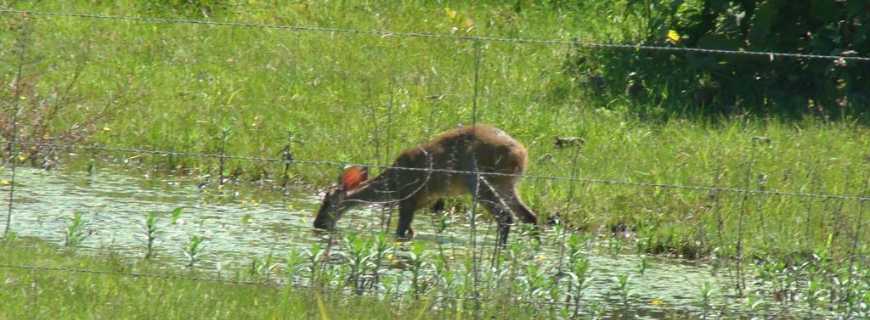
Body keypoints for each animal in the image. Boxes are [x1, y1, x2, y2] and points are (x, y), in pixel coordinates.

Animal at [314, 124, 540, 245]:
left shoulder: (409, 196)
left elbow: (401, 231)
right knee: (529, 216)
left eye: (327, 202)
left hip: (478, 179)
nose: (318, 224)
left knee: (506, 216)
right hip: (506, 184)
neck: (392, 185)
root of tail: (521, 154)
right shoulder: (423, 200)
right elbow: (410, 232)